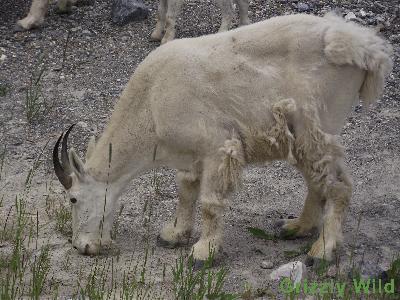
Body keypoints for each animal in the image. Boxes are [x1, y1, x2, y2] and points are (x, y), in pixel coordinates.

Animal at [51, 13, 392, 268]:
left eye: (73, 199)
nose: (82, 247)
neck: (151, 101)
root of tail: (365, 48)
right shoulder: (189, 153)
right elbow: (185, 191)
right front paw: (174, 234)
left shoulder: (217, 146)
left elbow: (210, 202)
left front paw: (204, 253)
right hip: (300, 134)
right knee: (316, 180)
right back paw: (296, 227)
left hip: (317, 125)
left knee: (338, 184)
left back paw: (323, 251)